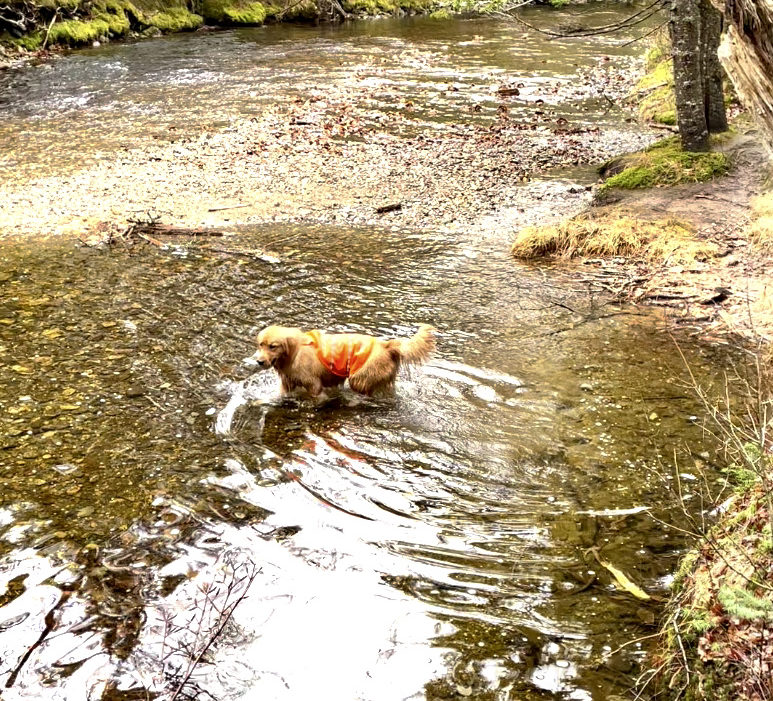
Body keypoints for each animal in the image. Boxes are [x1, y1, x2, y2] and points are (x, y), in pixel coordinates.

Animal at [252, 324, 438, 396]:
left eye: (273, 346)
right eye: (261, 344)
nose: (259, 361)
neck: (294, 352)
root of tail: (386, 345)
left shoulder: (314, 385)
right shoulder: (287, 384)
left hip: (359, 378)